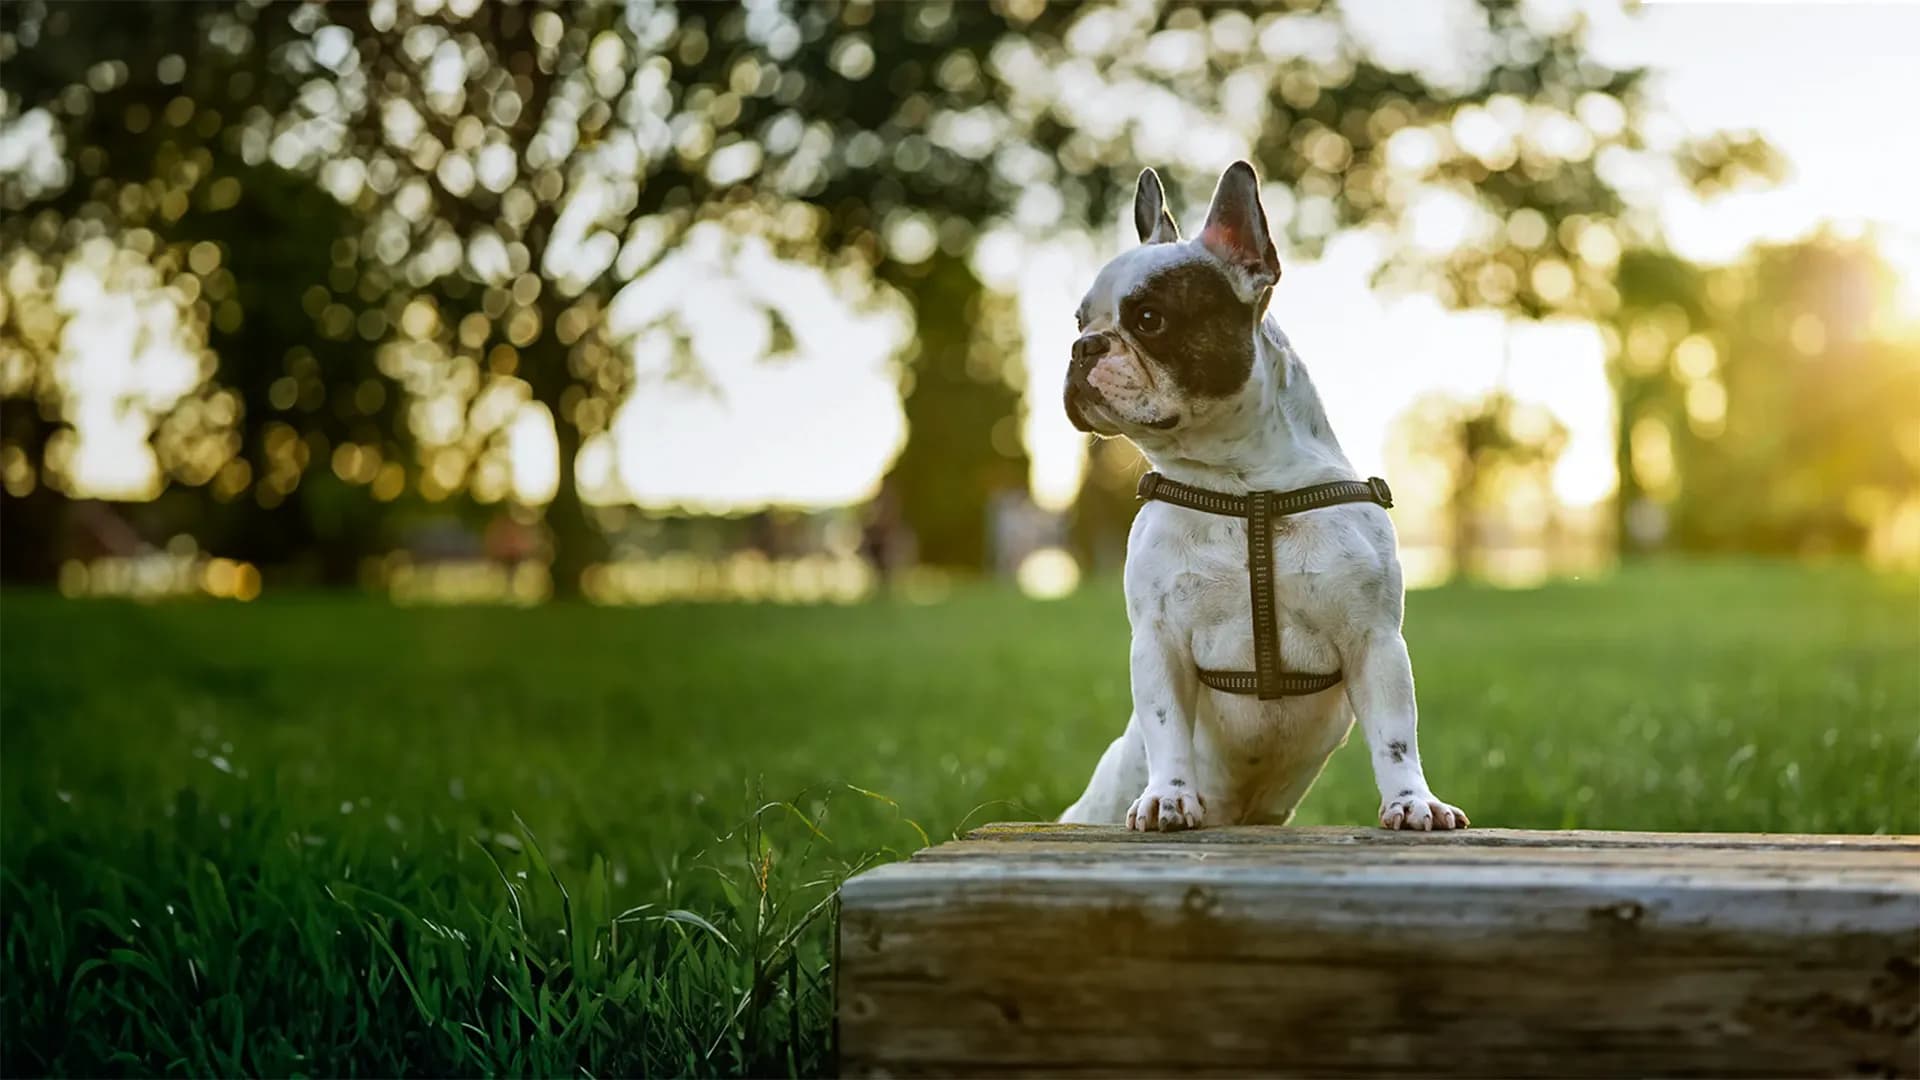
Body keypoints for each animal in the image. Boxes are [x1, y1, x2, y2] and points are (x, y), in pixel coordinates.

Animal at [1059, 161, 1459, 834]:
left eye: (1149, 320)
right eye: (1080, 320)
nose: (1083, 347)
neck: (1246, 489)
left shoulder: (1375, 641)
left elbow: (1396, 736)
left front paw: (1412, 801)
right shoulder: (1159, 641)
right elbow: (1166, 729)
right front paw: (1169, 796)